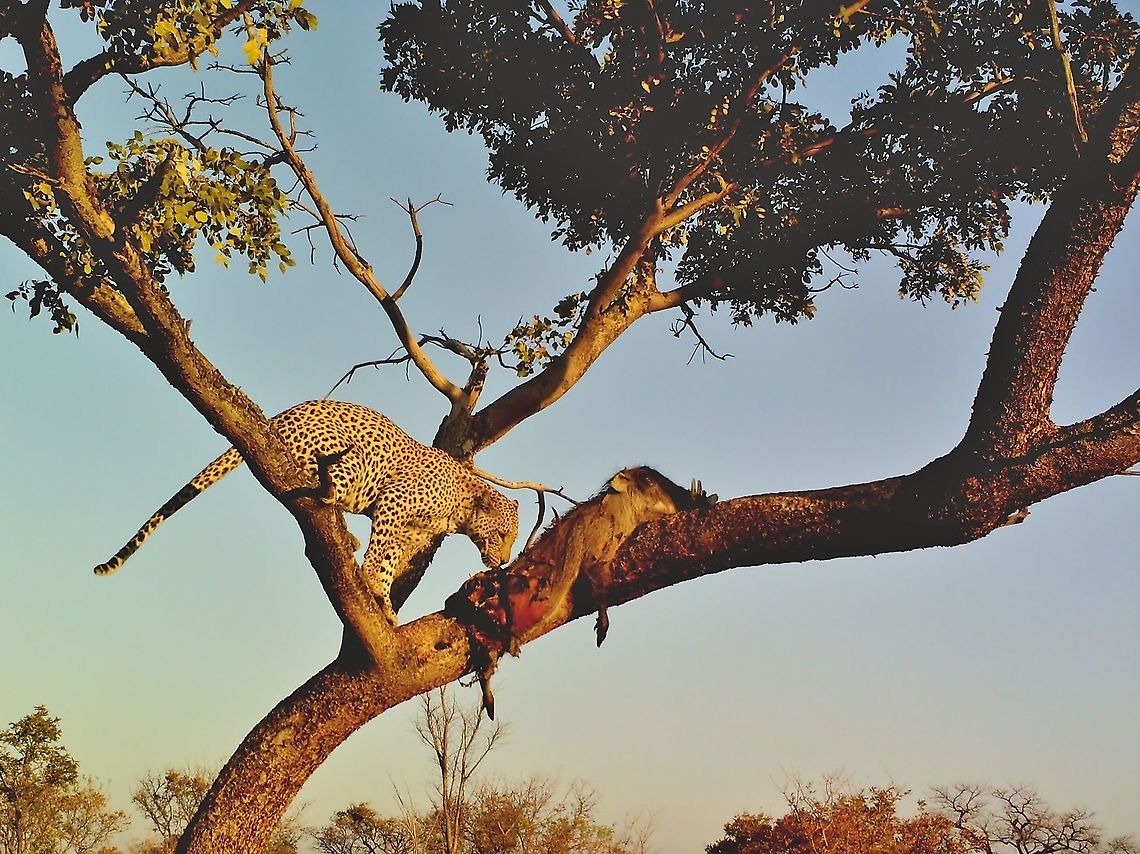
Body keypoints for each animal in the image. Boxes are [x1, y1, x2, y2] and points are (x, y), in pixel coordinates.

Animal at [94, 399, 519, 627]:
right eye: (502, 535)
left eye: (513, 541)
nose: (502, 560)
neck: (459, 514)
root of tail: (278, 416)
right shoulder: (393, 503)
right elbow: (380, 557)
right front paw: (375, 589)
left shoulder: (410, 532)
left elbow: (390, 559)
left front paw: (385, 603)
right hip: (348, 454)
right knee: (322, 486)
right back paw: (338, 511)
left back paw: (346, 534)